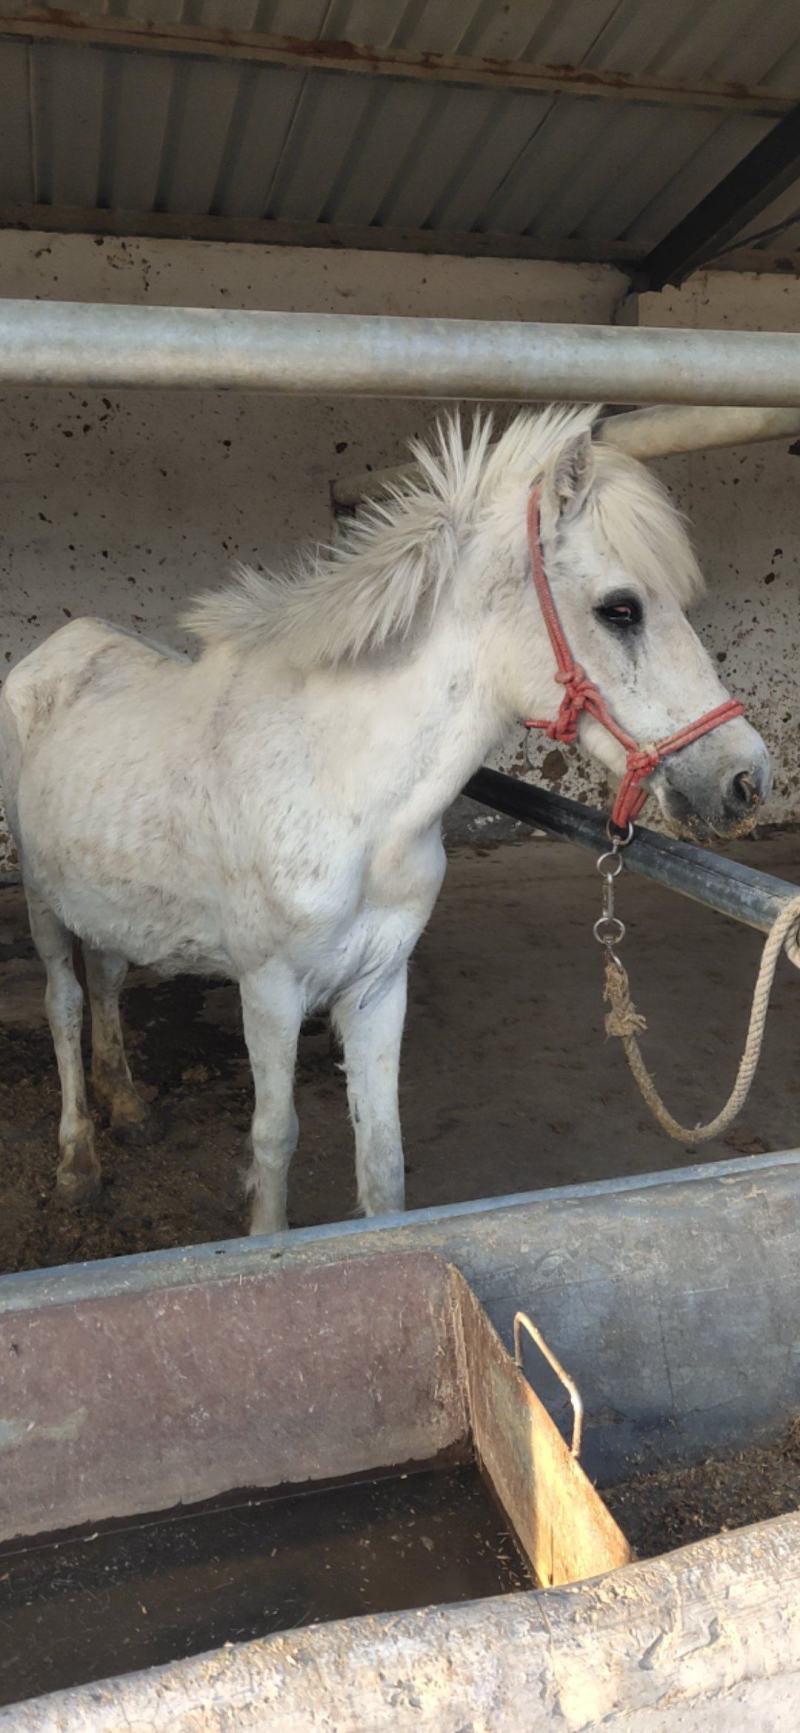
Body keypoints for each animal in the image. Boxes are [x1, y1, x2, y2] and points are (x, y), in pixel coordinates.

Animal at [0, 405, 771, 1233]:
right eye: (619, 608)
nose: (747, 779)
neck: (346, 790)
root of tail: (59, 646)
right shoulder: (268, 990)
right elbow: (274, 1138)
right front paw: (263, 1236)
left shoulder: (377, 986)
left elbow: (383, 1157)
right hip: (42, 900)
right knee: (65, 1004)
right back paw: (79, 1161)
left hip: (105, 899)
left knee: (109, 979)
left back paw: (130, 1106)